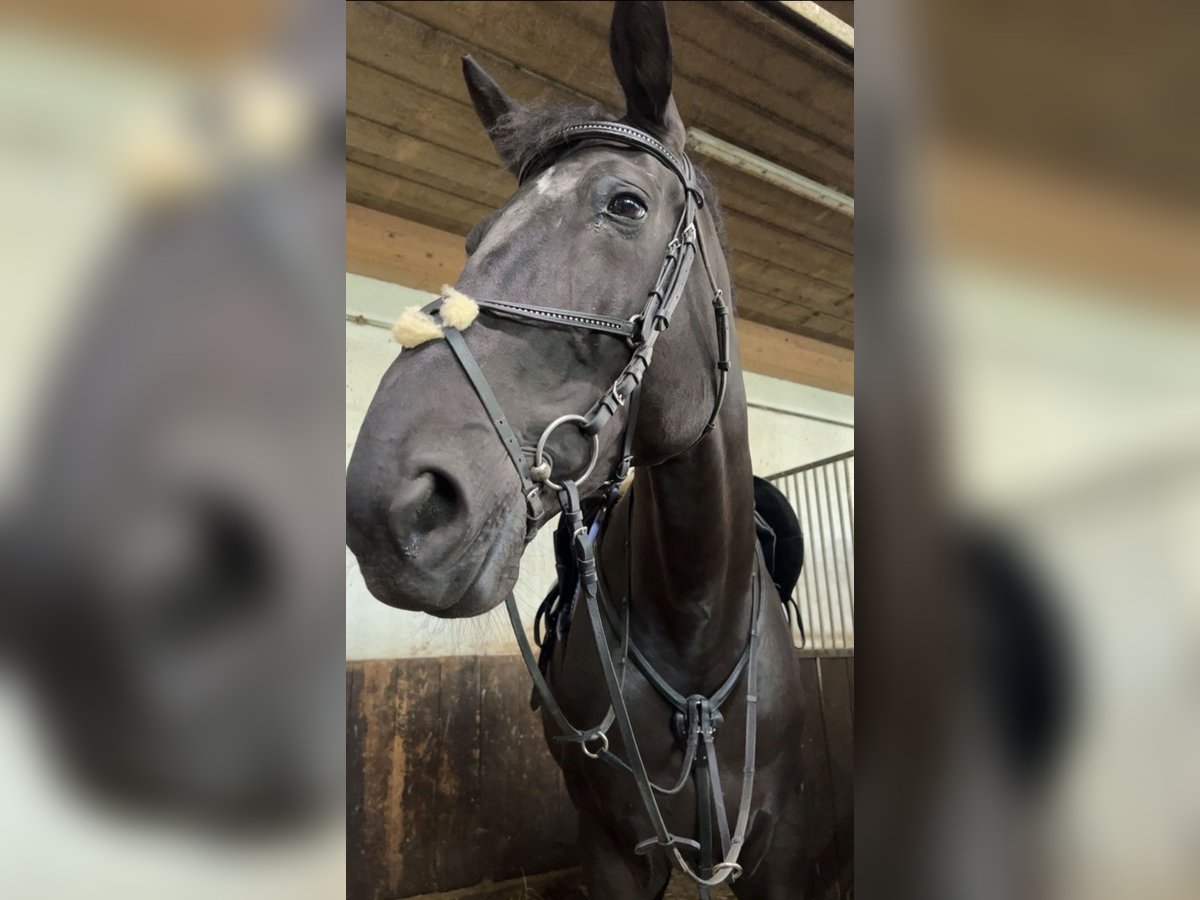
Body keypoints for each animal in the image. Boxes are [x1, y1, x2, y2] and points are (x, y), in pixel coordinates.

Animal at [346, 2, 809, 896]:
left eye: (625, 204)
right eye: (474, 235)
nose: (389, 506)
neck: (698, 635)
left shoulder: (774, 852)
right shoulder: (614, 849)